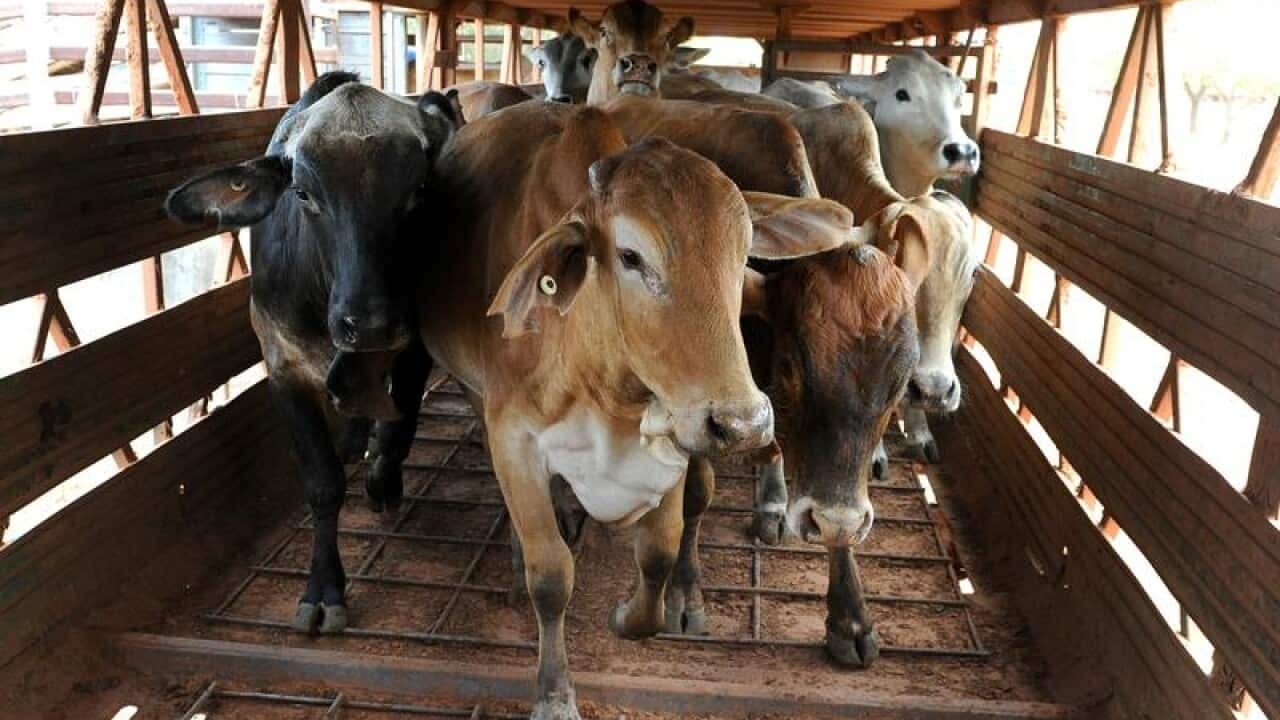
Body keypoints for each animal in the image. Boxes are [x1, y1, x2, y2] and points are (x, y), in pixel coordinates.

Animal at [164, 72, 460, 634]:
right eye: (303, 193)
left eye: (419, 189)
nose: (369, 323)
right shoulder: (284, 370)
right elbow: (323, 484)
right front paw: (323, 588)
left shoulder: (414, 352)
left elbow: (399, 430)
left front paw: (382, 481)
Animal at [417, 101, 855, 720]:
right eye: (630, 256)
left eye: (743, 252)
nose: (742, 423)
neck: (600, 381)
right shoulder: (513, 439)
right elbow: (550, 575)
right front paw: (554, 694)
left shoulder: (670, 439)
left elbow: (658, 552)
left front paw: (630, 615)